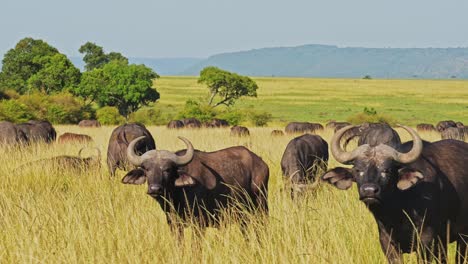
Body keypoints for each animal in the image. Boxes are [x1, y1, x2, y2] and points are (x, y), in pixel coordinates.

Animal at [120, 137, 268, 230]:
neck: (177, 196)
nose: (155, 189)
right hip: (244, 217)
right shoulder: (174, 224)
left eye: (167, 169)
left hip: (261, 208)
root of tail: (261, 163)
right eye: (147, 169)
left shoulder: (199, 224)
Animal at [322, 126, 468, 264]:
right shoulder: (387, 243)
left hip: (462, 237)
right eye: (358, 170)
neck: (397, 211)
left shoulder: (426, 240)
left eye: (387, 170)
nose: (369, 191)